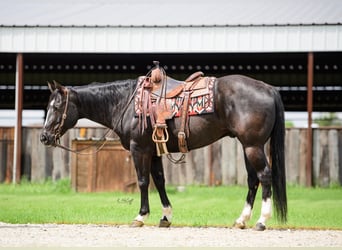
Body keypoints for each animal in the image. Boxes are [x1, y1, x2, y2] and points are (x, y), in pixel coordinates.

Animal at [40, 73, 286, 230]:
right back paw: (241, 220)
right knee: (253, 180)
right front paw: (165, 216)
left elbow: (142, 181)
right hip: (247, 147)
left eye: (56, 106)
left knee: (264, 176)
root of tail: (268, 88)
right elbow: (159, 180)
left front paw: (140, 216)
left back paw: (262, 221)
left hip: (253, 146)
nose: (44, 137)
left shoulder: (139, 149)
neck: (125, 102)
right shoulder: (154, 151)